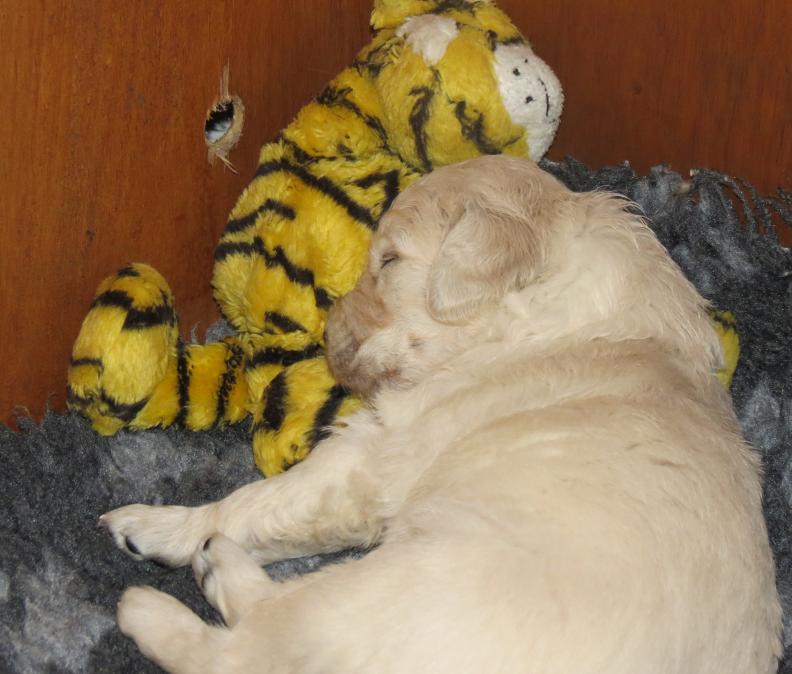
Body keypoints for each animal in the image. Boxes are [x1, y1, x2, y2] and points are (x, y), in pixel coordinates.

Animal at [99, 156, 780, 672]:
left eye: (390, 261)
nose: (327, 334)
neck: (537, 315)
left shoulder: (376, 450)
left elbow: (255, 502)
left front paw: (167, 527)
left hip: (387, 591)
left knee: (245, 650)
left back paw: (164, 592)